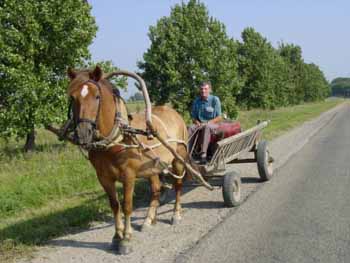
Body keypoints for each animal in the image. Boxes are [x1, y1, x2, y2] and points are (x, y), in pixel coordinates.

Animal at [67, 66, 190, 256]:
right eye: (72, 97)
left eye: (97, 96)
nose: (82, 133)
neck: (117, 139)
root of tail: (173, 112)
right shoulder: (103, 177)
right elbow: (114, 205)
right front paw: (116, 237)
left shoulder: (129, 175)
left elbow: (127, 206)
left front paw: (126, 239)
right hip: (153, 167)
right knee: (156, 189)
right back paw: (149, 219)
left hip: (178, 159)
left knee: (177, 185)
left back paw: (176, 214)